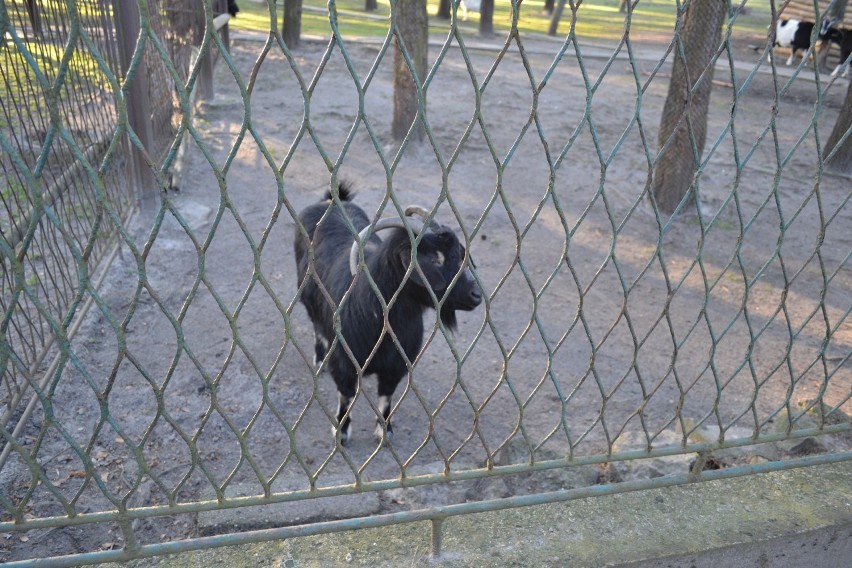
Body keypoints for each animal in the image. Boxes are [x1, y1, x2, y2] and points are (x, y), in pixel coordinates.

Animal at [294, 184, 482, 446]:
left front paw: (385, 431)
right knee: (317, 328)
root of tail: (330, 200)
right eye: (435, 259)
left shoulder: (396, 365)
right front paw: (341, 431)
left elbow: (386, 397)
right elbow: (346, 395)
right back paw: (319, 360)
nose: (476, 294)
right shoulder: (344, 363)